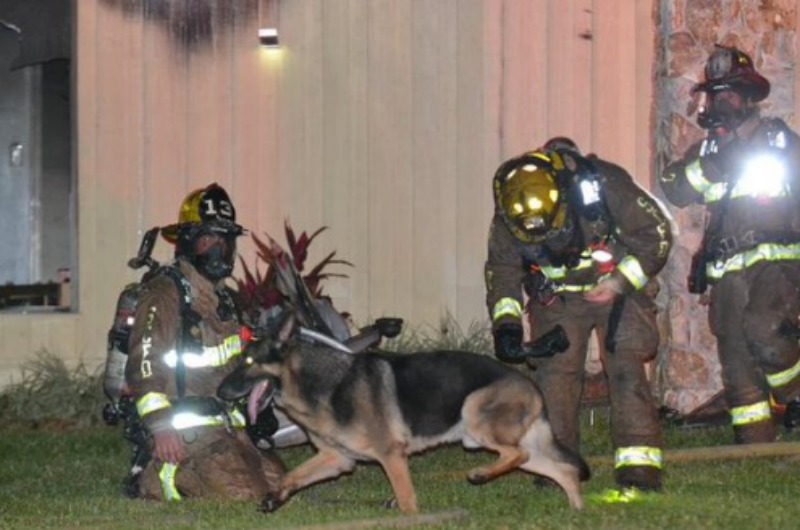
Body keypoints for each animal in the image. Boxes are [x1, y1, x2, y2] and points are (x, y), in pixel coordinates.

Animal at [217, 316, 588, 510]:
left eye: (248, 361)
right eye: (239, 359)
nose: (218, 394)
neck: (318, 384)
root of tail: (532, 385)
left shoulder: (391, 456)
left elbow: (408, 501)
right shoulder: (338, 459)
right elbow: (292, 475)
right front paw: (275, 497)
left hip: (474, 416)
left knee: (518, 454)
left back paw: (481, 474)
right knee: (562, 471)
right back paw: (576, 511)